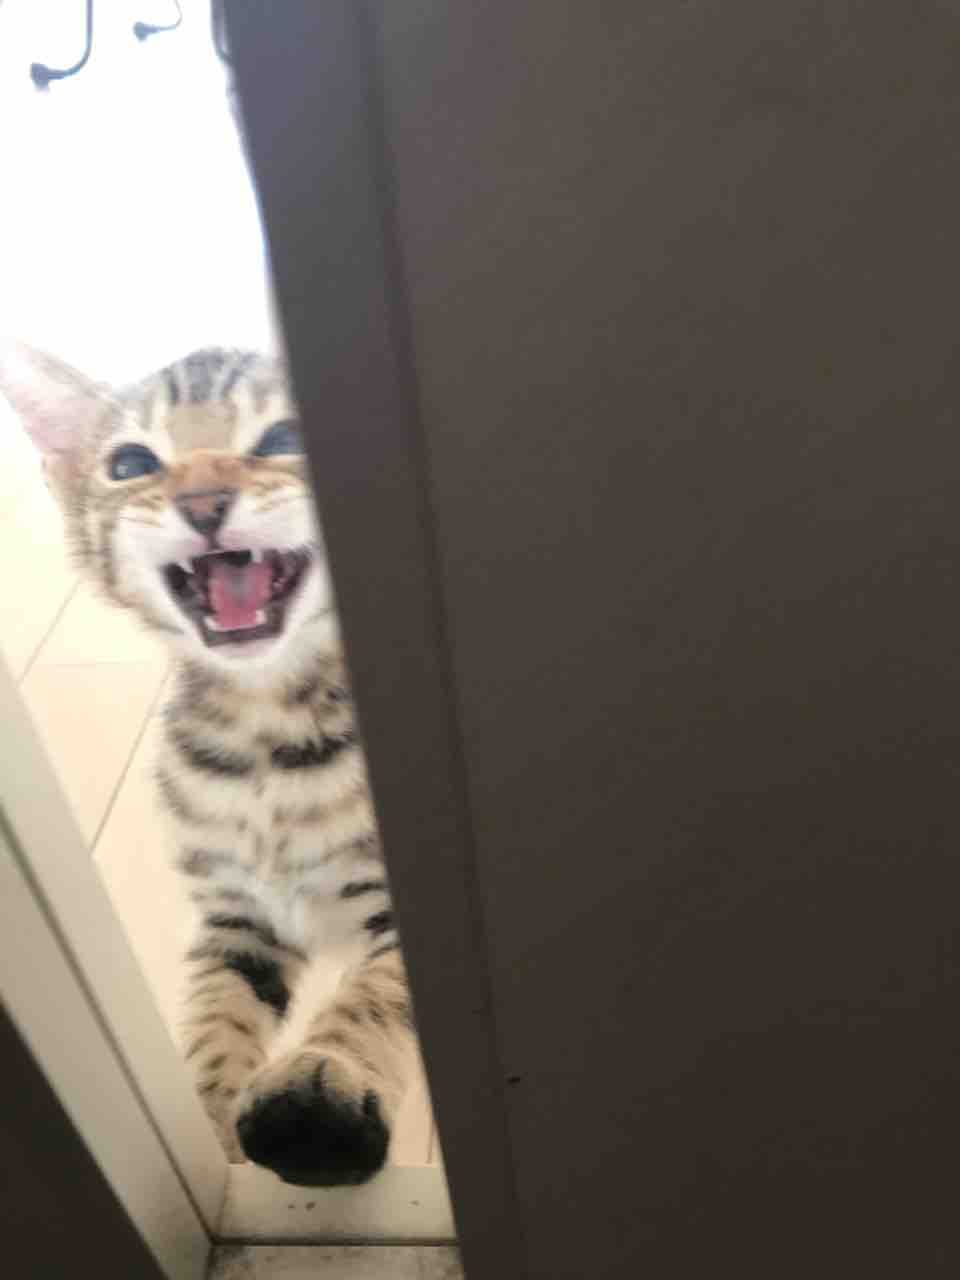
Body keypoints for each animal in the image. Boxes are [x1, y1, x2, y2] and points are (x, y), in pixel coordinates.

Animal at [0, 342, 416, 1188]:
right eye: (131, 462)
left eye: (285, 436)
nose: (203, 501)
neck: (266, 731)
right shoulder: (233, 914)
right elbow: (213, 1017)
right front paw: (209, 1134)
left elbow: (375, 995)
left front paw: (322, 1090)